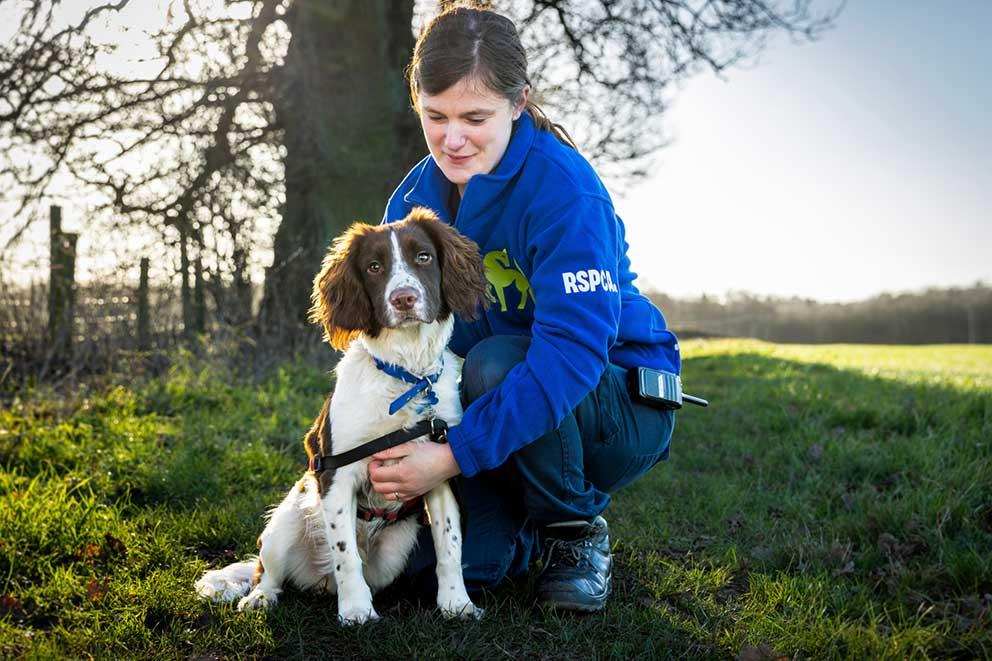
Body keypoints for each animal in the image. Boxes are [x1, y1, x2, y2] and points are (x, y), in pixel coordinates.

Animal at [195, 209, 488, 620]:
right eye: (374, 267)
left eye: (424, 257)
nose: (404, 299)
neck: (404, 374)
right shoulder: (336, 474)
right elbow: (345, 553)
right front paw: (356, 610)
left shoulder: (438, 471)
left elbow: (450, 543)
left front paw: (456, 603)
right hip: (284, 524)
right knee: (267, 570)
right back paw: (260, 598)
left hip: (394, 554)